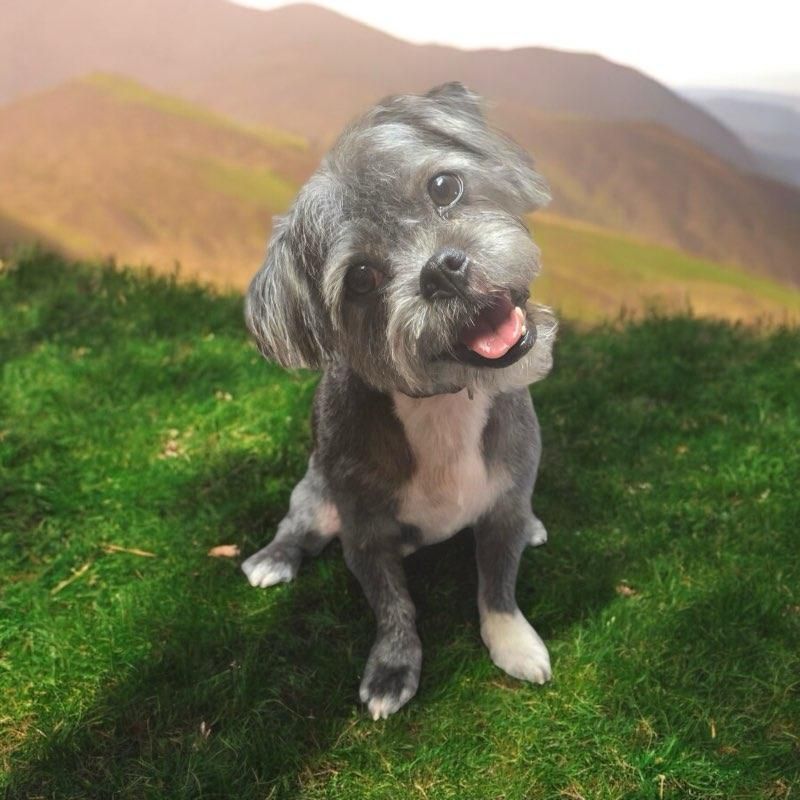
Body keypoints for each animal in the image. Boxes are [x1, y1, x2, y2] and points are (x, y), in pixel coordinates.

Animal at [242, 81, 556, 720]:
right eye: (361, 277)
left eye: (444, 186)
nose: (444, 270)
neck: (443, 401)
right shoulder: (367, 537)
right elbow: (394, 609)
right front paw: (393, 669)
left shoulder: (504, 506)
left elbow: (498, 585)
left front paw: (512, 642)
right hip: (315, 494)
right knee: (297, 527)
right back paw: (274, 559)